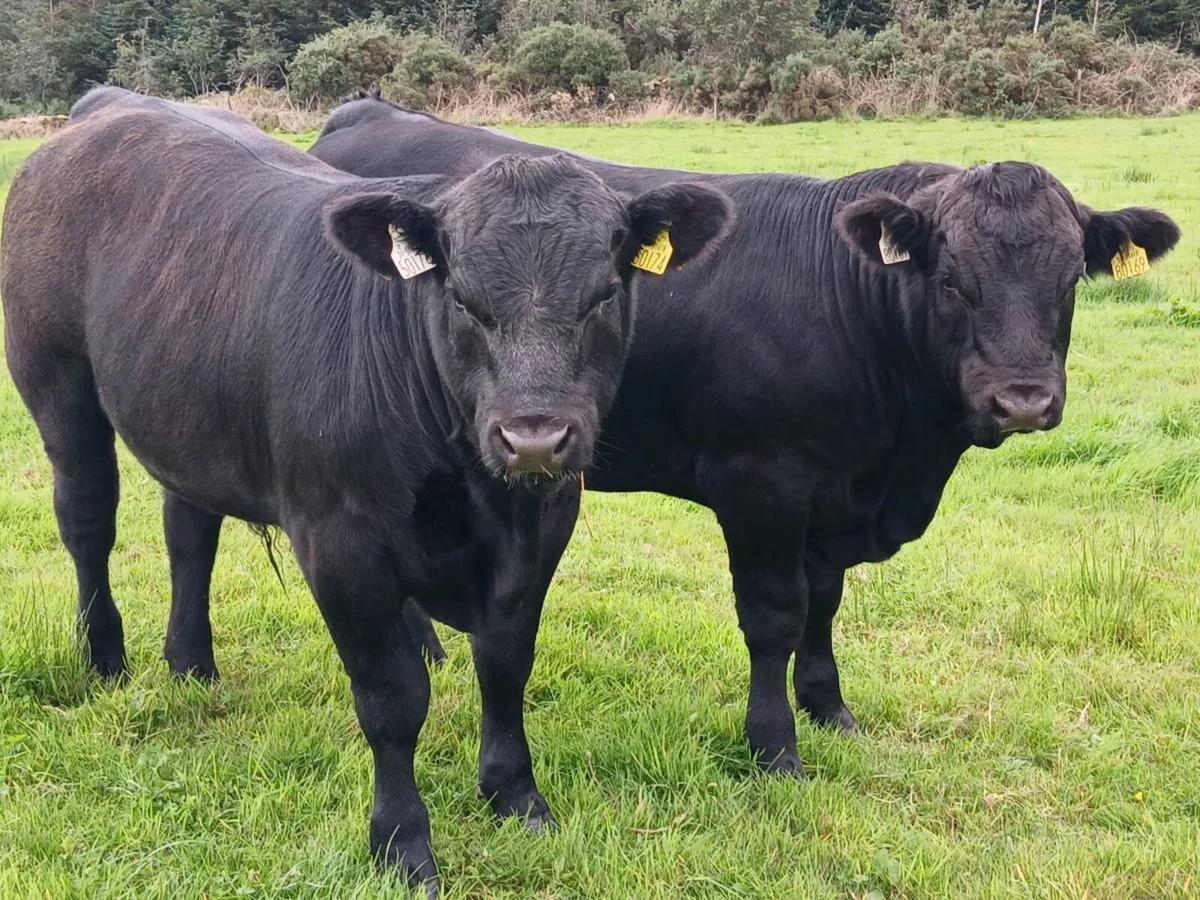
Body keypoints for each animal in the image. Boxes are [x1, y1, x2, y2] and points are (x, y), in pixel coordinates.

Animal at [0, 87, 733, 894]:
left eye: (603, 294)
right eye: (463, 299)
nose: (535, 438)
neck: (473, 494)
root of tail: (111, 109)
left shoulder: (544, 522)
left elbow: (507, 664)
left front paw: (515, 796)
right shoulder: (338, 542)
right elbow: (392, 698)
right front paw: (402, 843)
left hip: (185, 412)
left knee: (189, 530)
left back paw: (191, 663)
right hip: (56, 381)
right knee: (86, 518)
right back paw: (104, 655)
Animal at [295, 94, 1183, 779]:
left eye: (1069, 281)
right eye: (953, 280)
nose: (1023, 399)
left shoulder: (834, 494)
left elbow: (825, 603)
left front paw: (828, 708)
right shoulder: (764, 485)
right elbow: (775, 615)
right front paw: (774, 746)